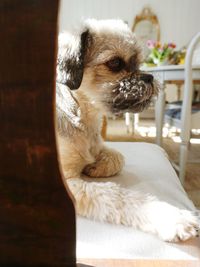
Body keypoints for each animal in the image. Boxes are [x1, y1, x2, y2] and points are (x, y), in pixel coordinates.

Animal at [55, 18, 199, 243]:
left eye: (138, 62)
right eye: (115, 63)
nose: (149, 77)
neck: (84, 117)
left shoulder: (101, 145)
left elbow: (118, 157)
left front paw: (96, 166)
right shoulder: (67, 183)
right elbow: (118, 197)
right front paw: (172, 219)